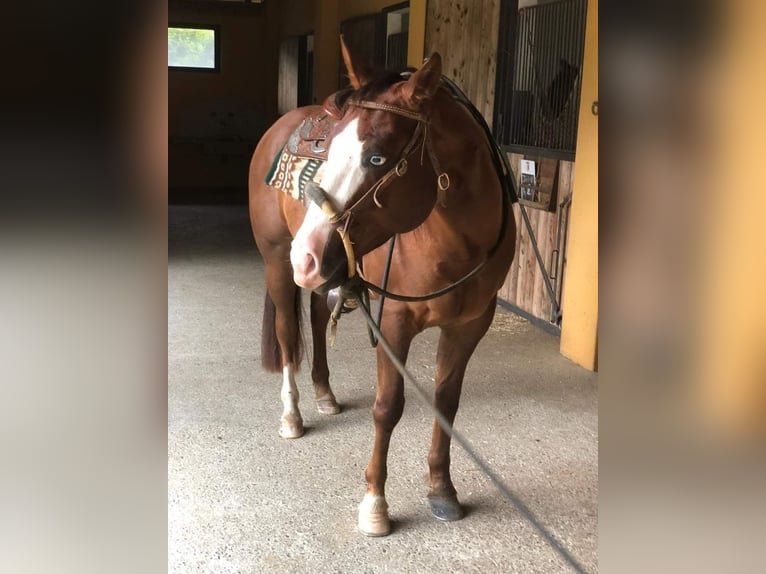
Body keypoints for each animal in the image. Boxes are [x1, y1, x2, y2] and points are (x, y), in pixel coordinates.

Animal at [249, 41, 520, 540]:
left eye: (376, 159)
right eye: (329, 149)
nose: (305, 257)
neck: (458, 241)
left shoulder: (471, 324)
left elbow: (446, 403)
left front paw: (442, 490)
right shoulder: (395, 320)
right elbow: (387, 408)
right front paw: (375, 504)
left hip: (331, 273)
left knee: (318, 315)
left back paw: (325, 394)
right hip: (278, 263)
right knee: (287, 332)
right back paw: (292, 415)